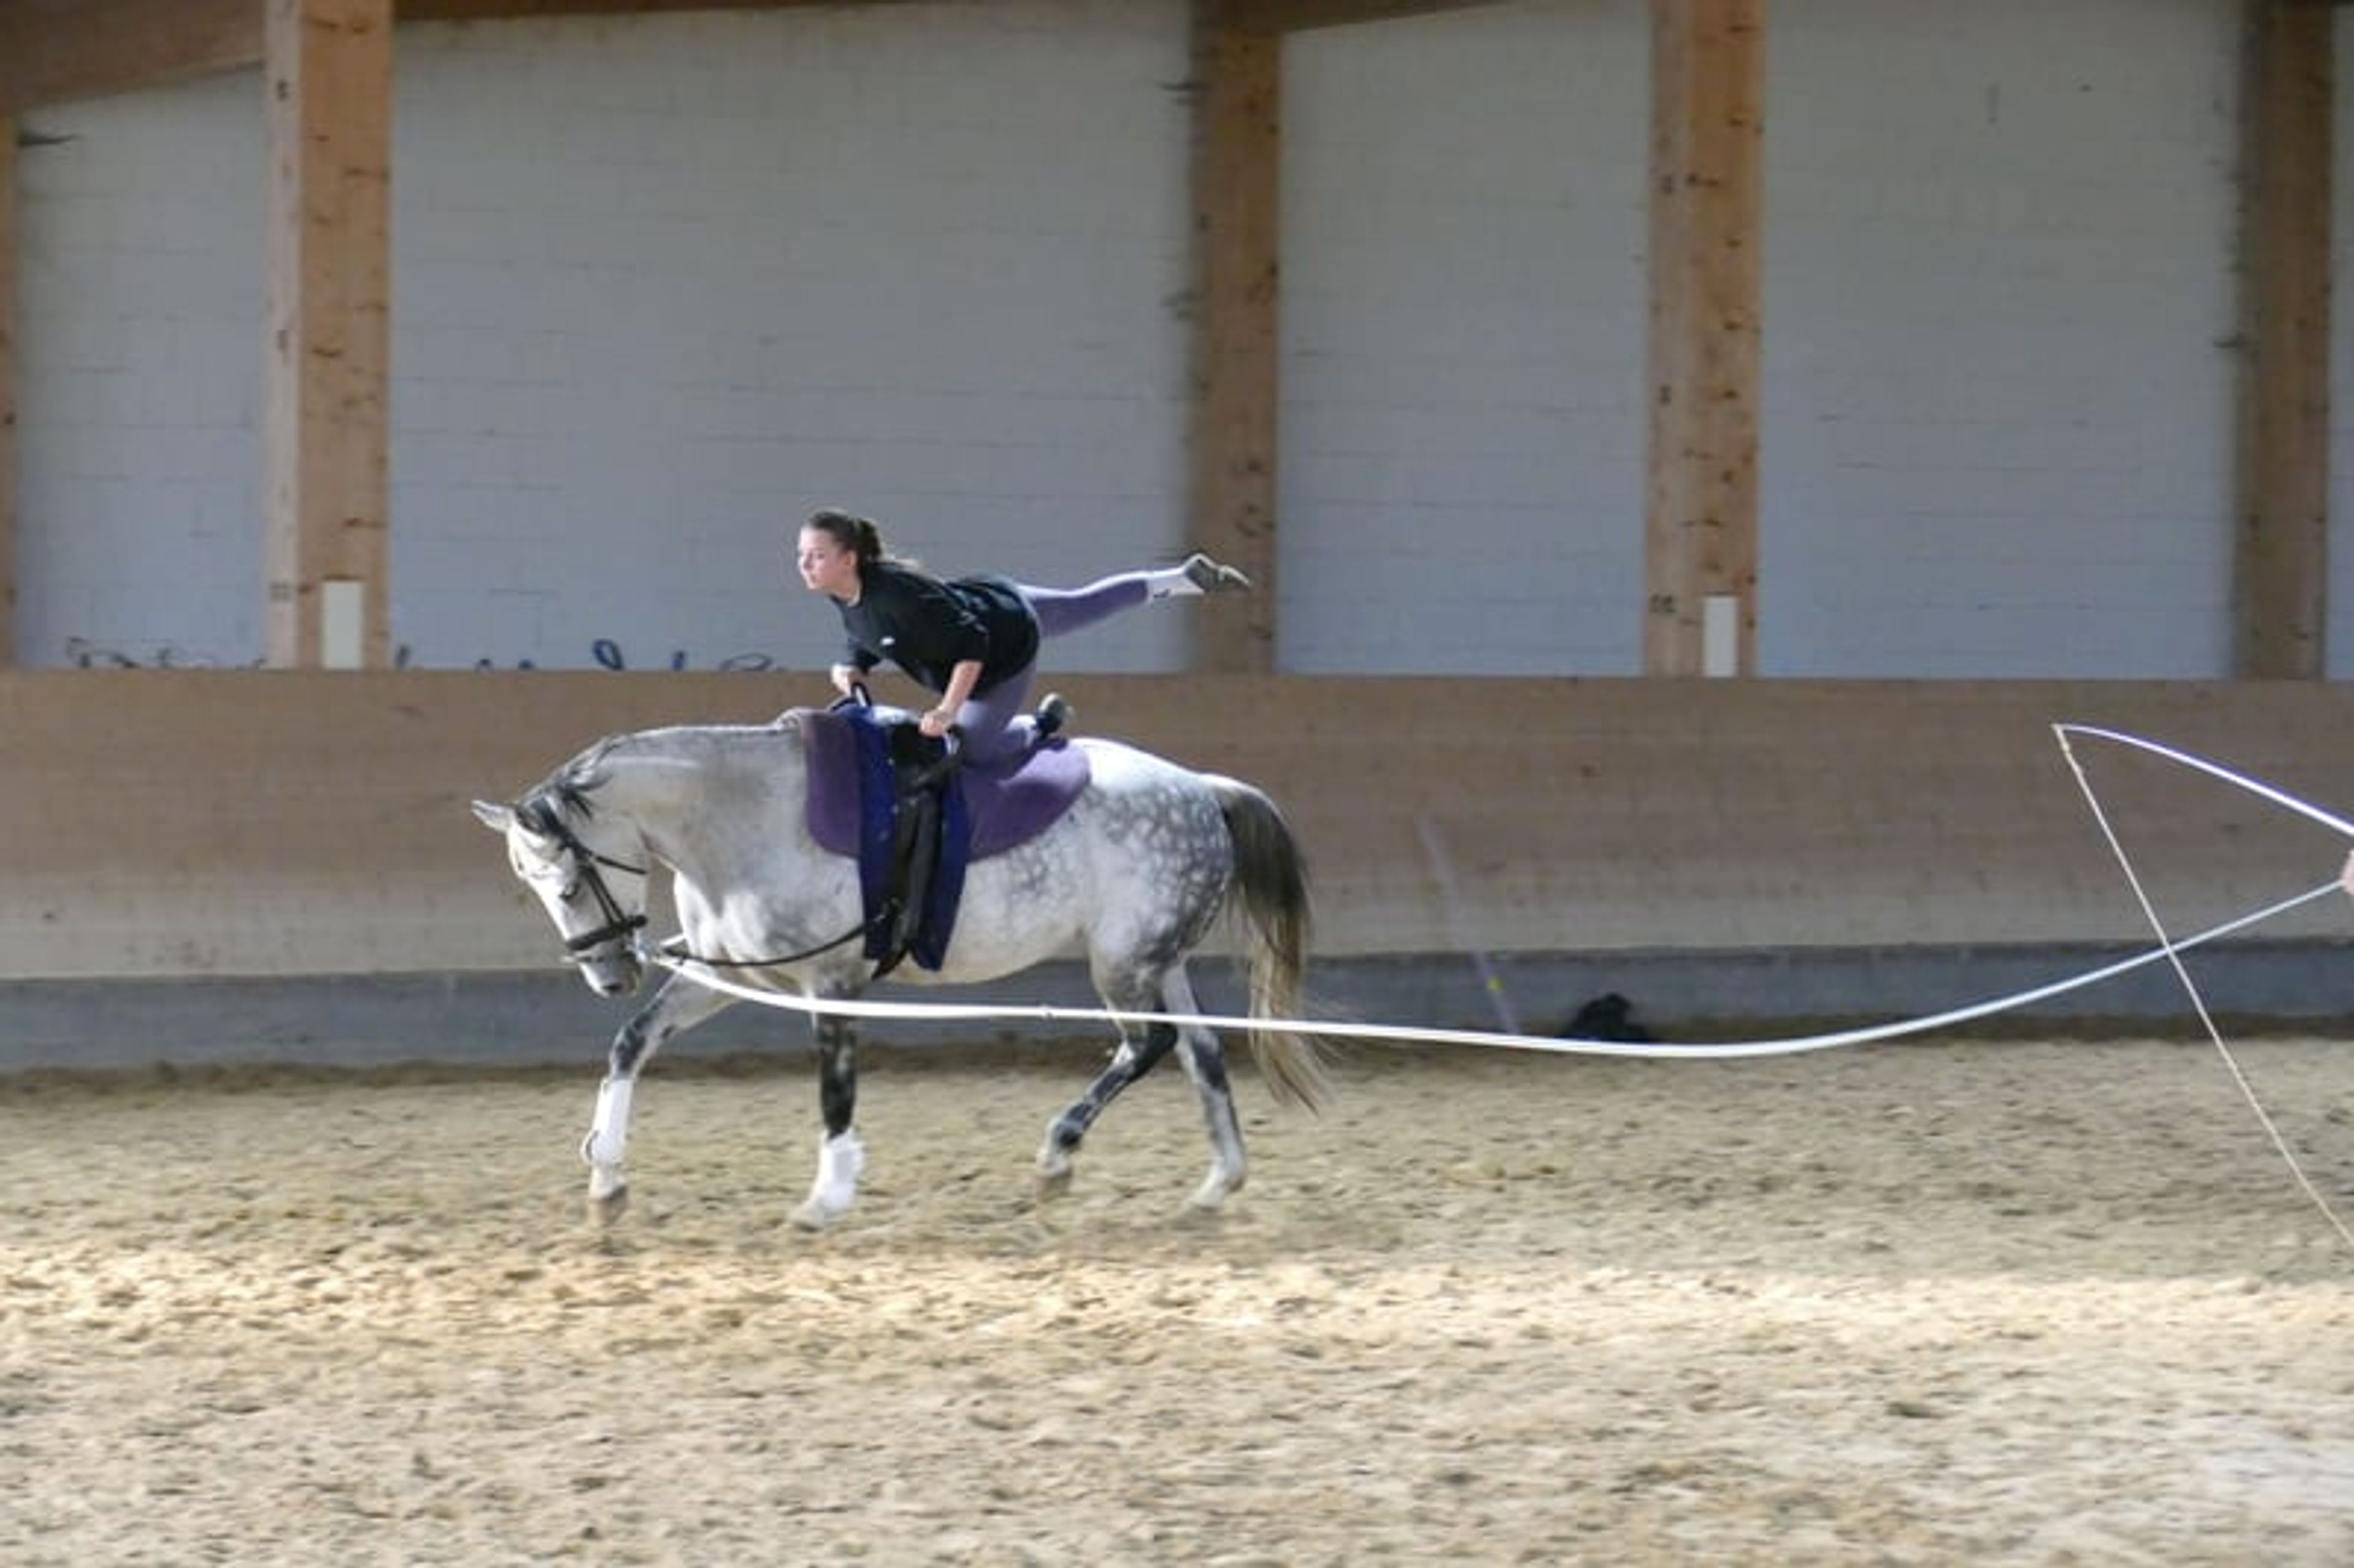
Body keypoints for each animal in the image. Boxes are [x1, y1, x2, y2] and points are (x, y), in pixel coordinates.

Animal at [471, 713, 1330, 1229]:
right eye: (532, 885)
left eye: (568, 882)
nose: (609, 973)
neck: (747, 817)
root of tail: (1203, 790)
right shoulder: (730, 974)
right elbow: (633, 1042)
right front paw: (607, 1180)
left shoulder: (833, 982)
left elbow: (835, 1088)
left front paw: (827, 1196)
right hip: (1159, 959)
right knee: (1201, 1052)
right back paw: (1217, 1184)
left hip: (1121, 961)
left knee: (1147, 1046)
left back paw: (1057, 1157)